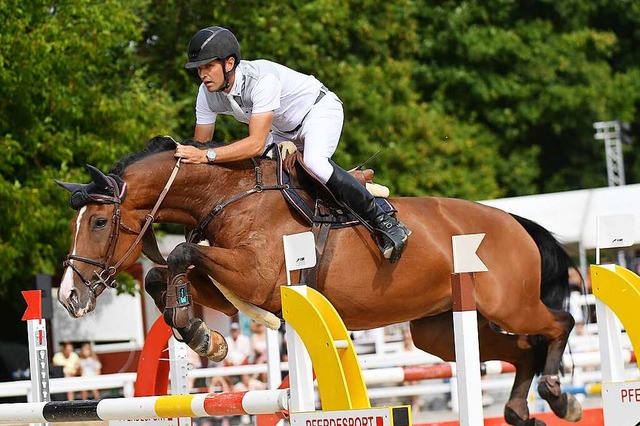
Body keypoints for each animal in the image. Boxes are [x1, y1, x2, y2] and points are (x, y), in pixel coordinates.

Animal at [57, 136, 584, 422]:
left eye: (99, 222)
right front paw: (205, 337)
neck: (227, 196)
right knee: (522, 351)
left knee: (559, 325)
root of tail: (515, 222)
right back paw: (524, 412)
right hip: (440, 331)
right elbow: (162, 274)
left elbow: (184, 253)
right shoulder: (231, 289)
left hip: (509, 305)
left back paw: (558, 395)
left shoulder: (257, 277)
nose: (68, 297)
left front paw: (203, 336)